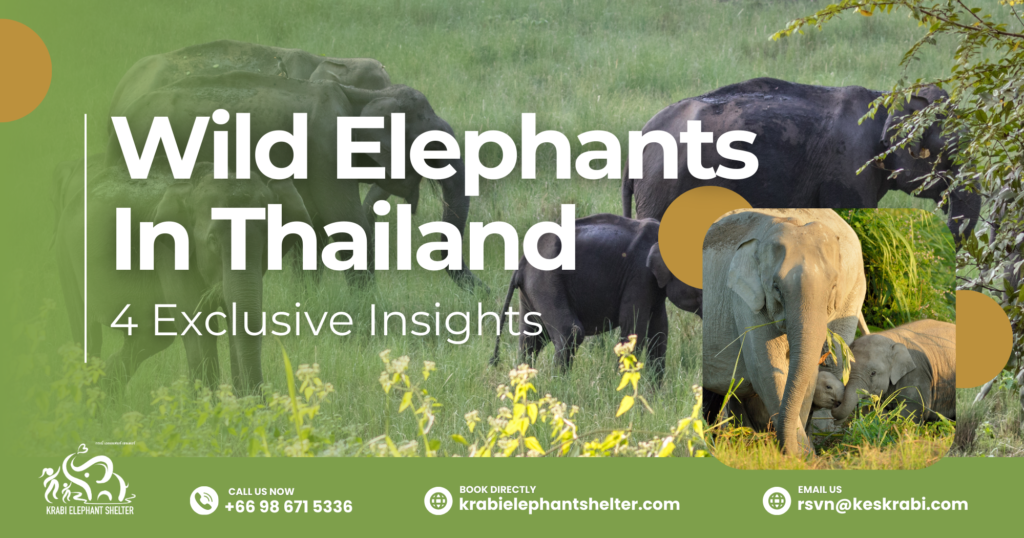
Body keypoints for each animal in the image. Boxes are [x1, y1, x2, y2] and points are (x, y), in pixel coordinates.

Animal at [56, 162, 311, 393]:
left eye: (268, 239)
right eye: (212, 240)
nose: (262, 400)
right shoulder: (169, 253)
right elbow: (198, 329)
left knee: (149, 335)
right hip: (67, 256)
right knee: (88, 335)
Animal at [105, 70, 480, 288]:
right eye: (432, 145)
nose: (484, 289)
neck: (362, 95)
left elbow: (311, 222)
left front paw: (309, 296)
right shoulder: (325, 145)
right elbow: (343, 218)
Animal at [491, 214, 702, 382]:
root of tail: (521, 263)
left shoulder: (654, 288)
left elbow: (659, 331)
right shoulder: (639, 277)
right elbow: (634, 329)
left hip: (532, 289)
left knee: (531, 339)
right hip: (545, 279)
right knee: (569, 333)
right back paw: (559, 387)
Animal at [702, 208, 866, 454]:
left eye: (833, 287)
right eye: (776, 288)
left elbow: (805, 376)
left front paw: (802, 452)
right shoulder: (745, 302)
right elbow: (767, 369)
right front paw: (801, 454)